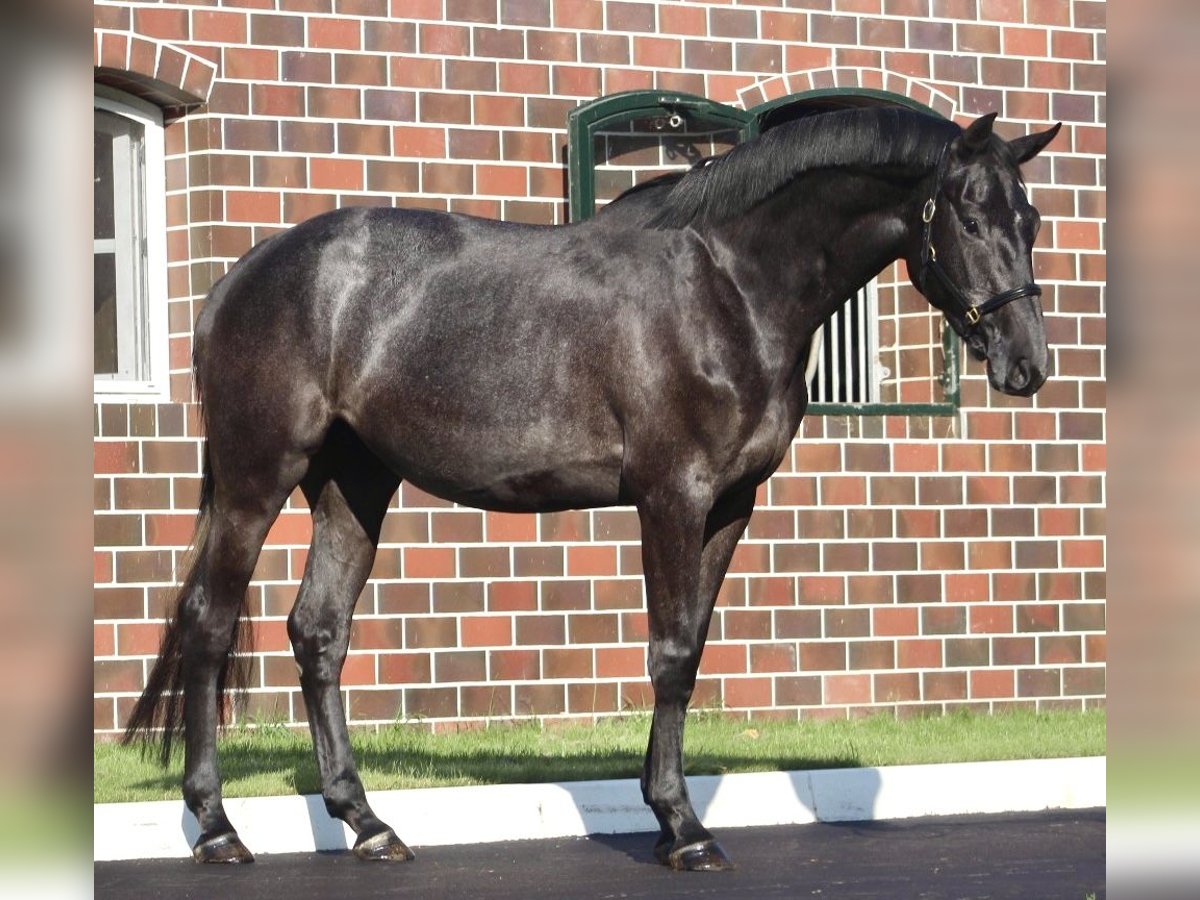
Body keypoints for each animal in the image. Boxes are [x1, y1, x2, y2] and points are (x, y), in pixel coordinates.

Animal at [121, 107, 1060, 873]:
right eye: (969, 214)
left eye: (1031, 218)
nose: (1027, 364)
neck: (730, 284)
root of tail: (236, 280)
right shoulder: (671, 496)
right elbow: (670, 655)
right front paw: (684, 829)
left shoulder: (731, 506)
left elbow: (693, 650)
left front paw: (670, 812)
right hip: (257, 476)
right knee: (208, 623)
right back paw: (217, 830)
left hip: (355, 483)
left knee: (318, 633)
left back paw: (369, 826)